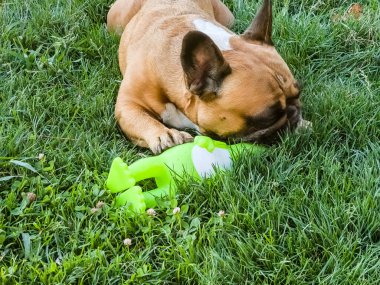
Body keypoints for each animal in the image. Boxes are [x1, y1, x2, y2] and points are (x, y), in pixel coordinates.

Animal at [106, 0, 306, 153]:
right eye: (267, 117)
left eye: (298, 94)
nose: (293, 112)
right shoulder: (127, 105)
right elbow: (141, 119)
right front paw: (165, 135)